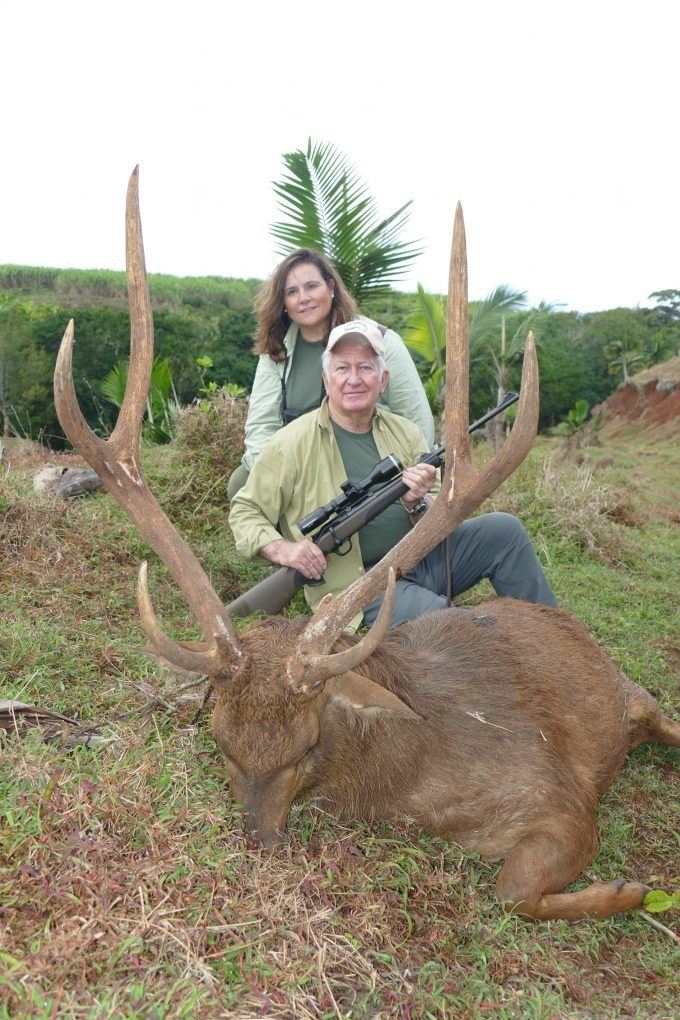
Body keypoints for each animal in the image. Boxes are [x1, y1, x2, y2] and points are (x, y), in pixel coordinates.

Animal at [54, 168, 679, 921]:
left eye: (308, 745)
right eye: (221, 743)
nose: (258, 844)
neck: (400, 781)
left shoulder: (561, 791)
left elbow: (514, 891)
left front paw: (632, 887)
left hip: (633, 695)